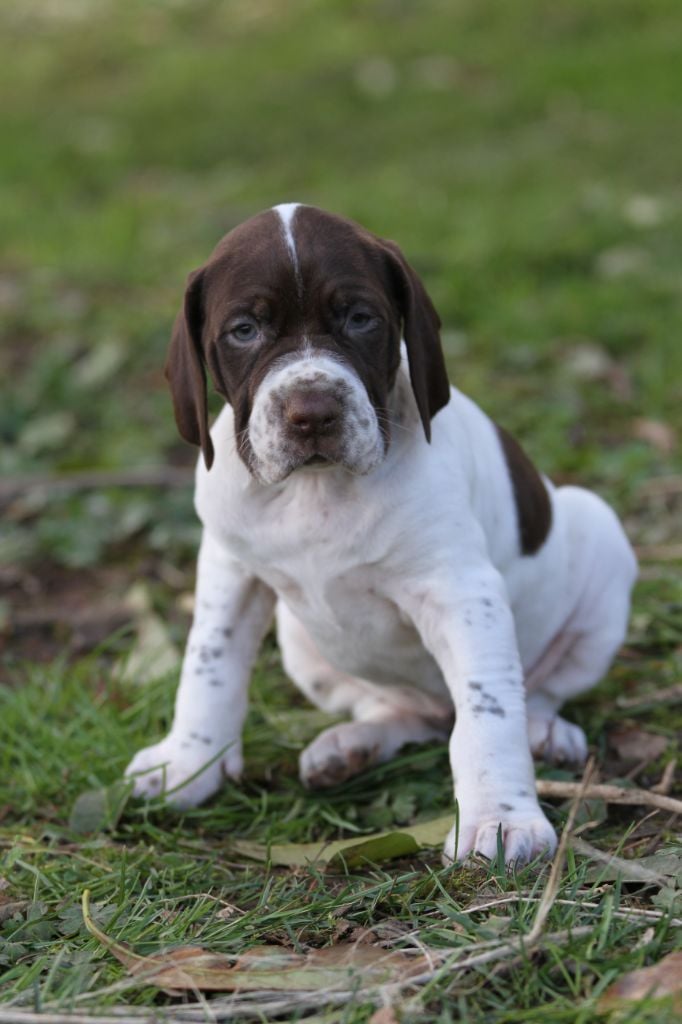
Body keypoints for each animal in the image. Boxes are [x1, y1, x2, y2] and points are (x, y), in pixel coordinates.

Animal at [123, 205, 638, 864]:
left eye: (360, 319)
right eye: (244, 330)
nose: (312, 413)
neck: (318, 490)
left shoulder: (460, 593)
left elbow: (489, 709)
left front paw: (500, 819)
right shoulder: (230, 574)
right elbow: (207, 670)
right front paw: (187, 766)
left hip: (600, 538)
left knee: (531, 694)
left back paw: (546, 733)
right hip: (302, 643)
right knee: (399, 711)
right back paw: (353, 745)